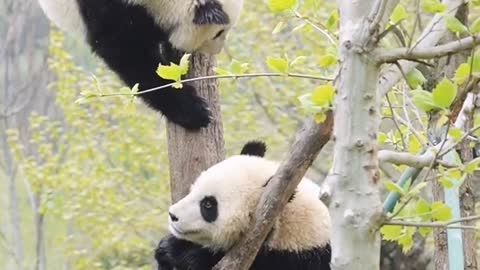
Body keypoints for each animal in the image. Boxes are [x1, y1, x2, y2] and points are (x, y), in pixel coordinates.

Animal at [156, 141, 332, 270]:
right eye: (193, 189)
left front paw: (179, 252)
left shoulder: (297, 258)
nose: (173, 215)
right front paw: (165, 249)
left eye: (208, 204)